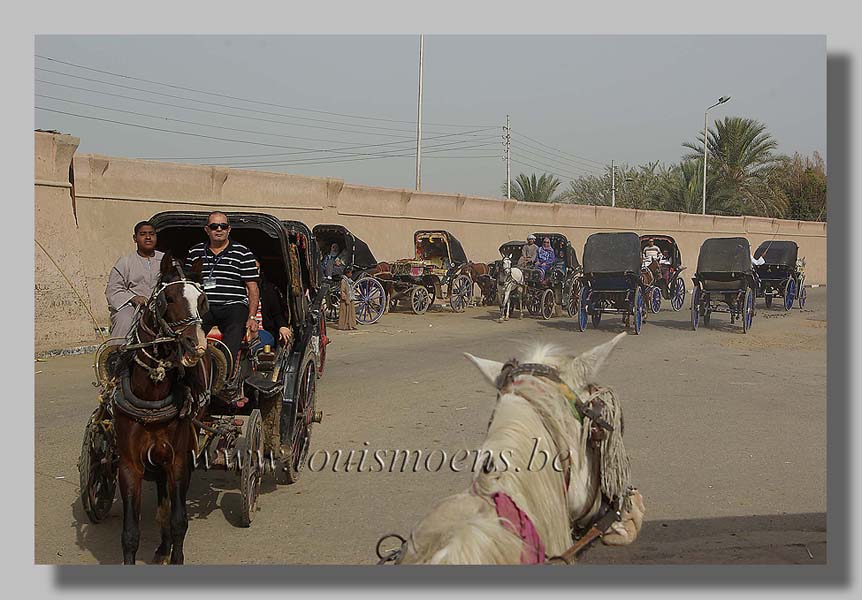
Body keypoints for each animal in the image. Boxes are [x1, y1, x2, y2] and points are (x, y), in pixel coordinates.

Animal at [109, 252, 211, 564]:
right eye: (169, 298)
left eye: (203, 300)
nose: (196, 345)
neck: (151, 395)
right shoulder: (129, 466)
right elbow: (130, 534)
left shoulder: (178, 460)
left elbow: (178, 520)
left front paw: (176, 555)